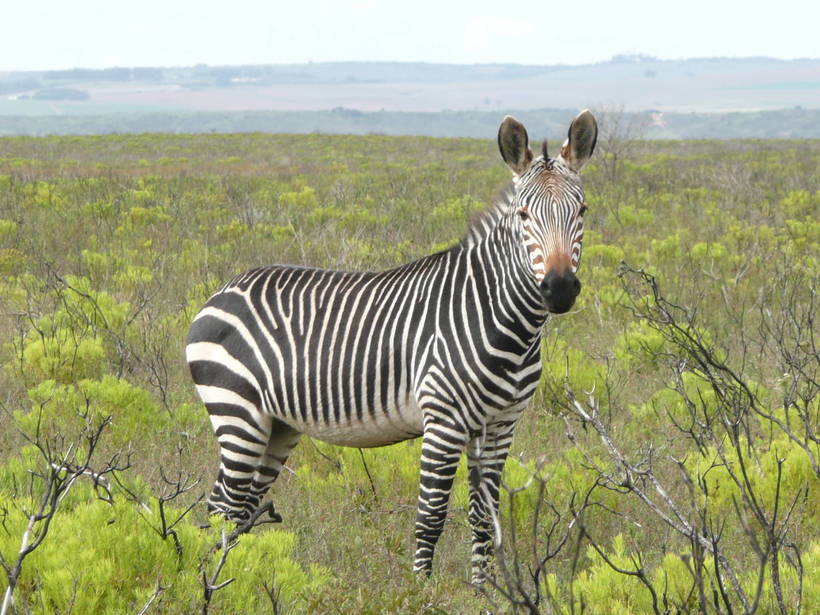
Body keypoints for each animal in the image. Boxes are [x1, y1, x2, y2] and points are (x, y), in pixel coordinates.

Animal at [186, 109, 596, 584]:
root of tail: (223, 290)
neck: (504, 322)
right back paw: (218, 582)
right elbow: (431, 515)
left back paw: (242, 576)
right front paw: (421, 590)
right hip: (238, 412)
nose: (560, 288)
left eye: (582, 210)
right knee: (222, 506)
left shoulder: (502, 423)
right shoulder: (444, 419)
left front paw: (484, 590)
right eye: (525, 215)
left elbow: (483, 516)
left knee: (241, 508)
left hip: (277, 425)